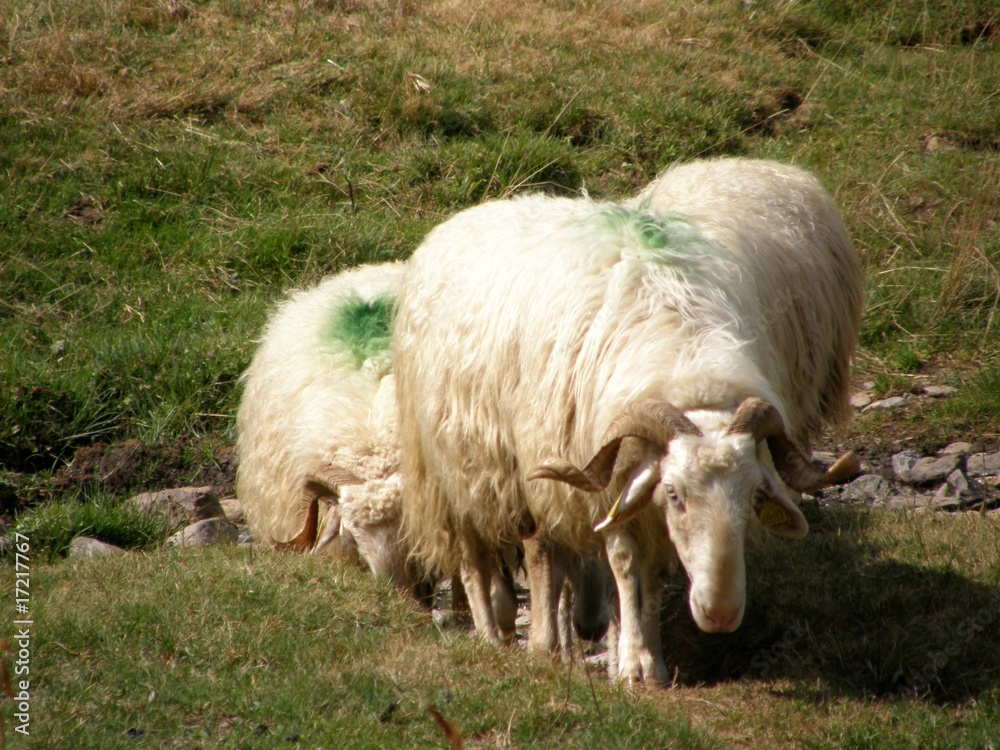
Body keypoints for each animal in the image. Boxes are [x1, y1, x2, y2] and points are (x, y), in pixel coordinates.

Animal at [393, 157, 862, 681]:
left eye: (756, 495)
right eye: (675, 494)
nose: (720, 614)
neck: (685, 363)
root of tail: (466, 217)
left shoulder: (636, 489)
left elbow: (650, 574)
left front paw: (644, 657)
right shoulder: (606, 475)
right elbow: (619, 563)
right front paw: (633, 664)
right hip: (457, 468)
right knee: (483, 555)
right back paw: (501, 637)